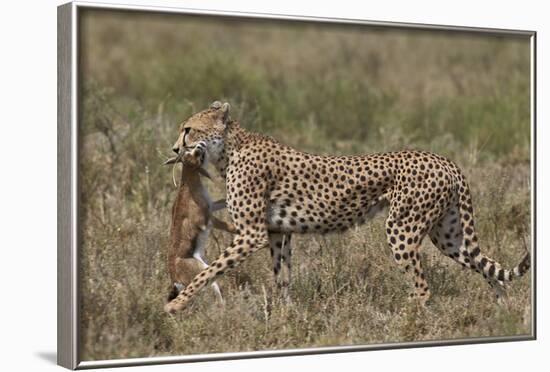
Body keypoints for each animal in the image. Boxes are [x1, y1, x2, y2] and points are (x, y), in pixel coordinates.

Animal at [166, 144, 237, 304]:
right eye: (187, 154)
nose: (200, 146)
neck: (189, 190)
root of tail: (174, 279)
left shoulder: (212, 205)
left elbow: (225, 201)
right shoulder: (208, 220)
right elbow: (229, 226)